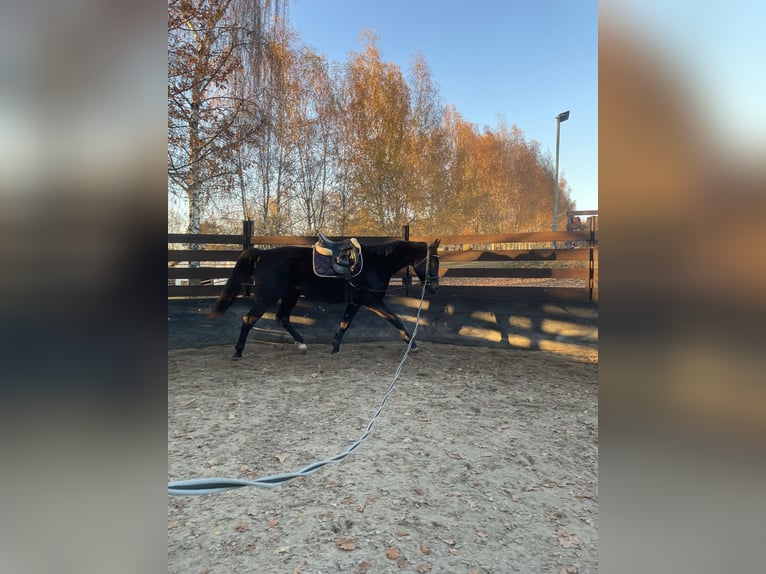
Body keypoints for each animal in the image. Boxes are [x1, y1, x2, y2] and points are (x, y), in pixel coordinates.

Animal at [209, 238, 441, 358]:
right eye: (434, 261)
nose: (434, 288)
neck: (376, 263)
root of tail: (263, 255)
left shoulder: (363, 302)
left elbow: (350, 323)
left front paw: (335, 345)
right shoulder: (369, 301)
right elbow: (394, 319)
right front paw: (413, 344)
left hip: (290, 295)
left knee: (282, 318)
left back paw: (301, 344)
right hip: (266, 298)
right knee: (249, 319)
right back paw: (238, 351)